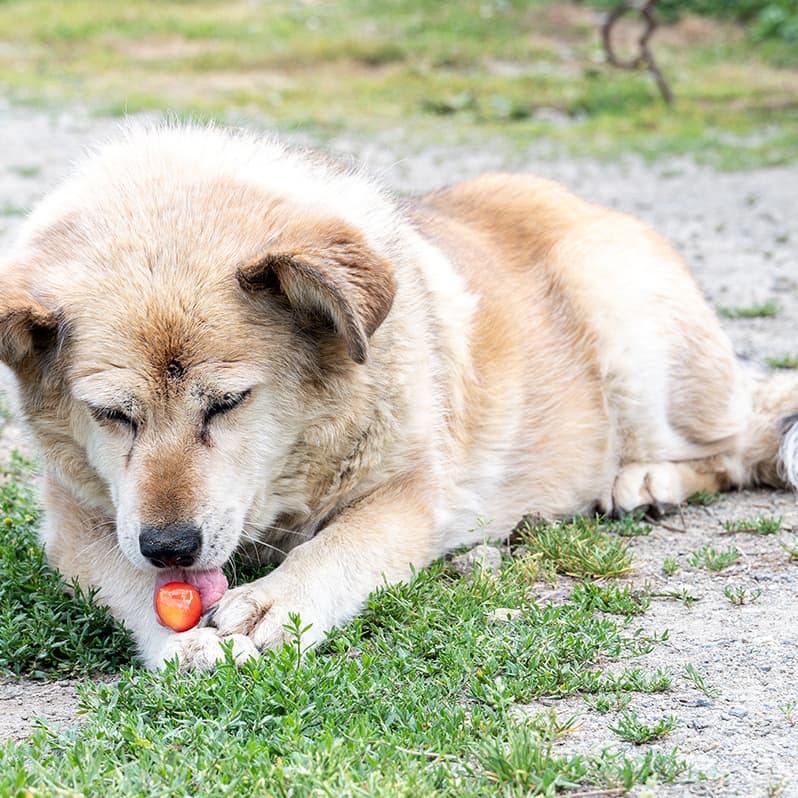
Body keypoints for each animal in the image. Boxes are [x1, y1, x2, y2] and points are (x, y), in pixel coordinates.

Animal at [0, 125, 796, 672]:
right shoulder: (77, 524)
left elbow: (343, 546)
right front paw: (179, 639)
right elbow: (124, 575)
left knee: (739, 443)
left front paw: (277, 605)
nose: (169, 547)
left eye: (228, 402)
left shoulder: (412, 492)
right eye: (112, 415)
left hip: (621, 313)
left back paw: (647, 478)